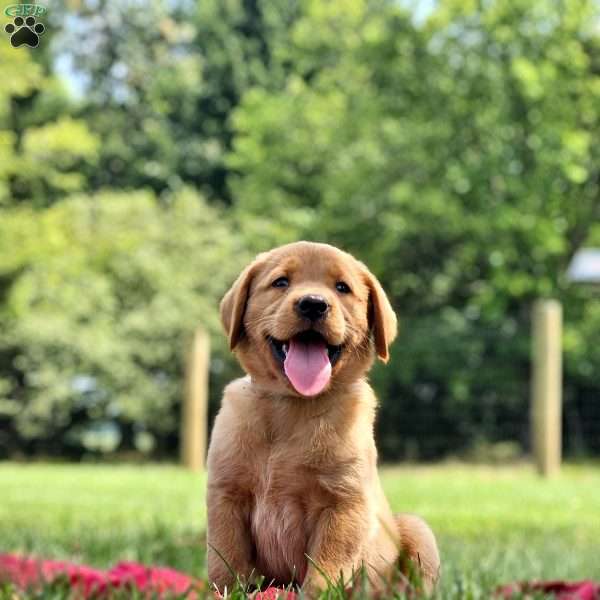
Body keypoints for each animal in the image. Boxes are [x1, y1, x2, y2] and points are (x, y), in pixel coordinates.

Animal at [207, 240, 440, 596]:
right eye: (281, 282)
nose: (313, 304)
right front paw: (225, 592)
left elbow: (325, 568)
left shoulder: (343, 503)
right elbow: (226, 562)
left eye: (342, 287)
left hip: (417, 530)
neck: (294, 407)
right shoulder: (226, 495)